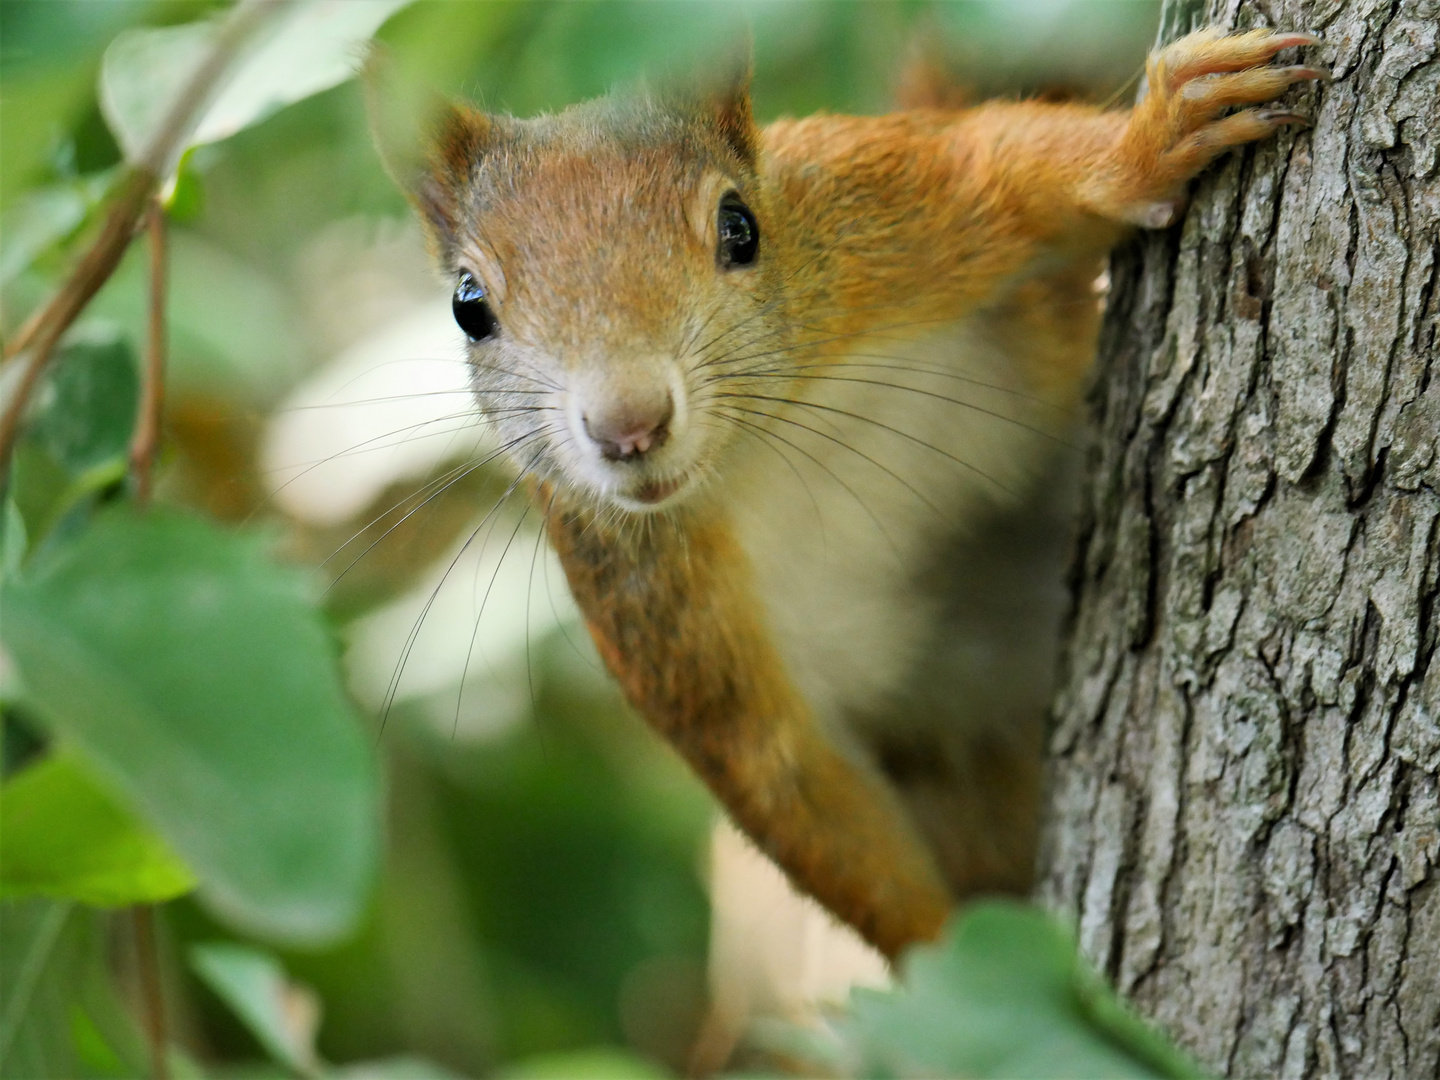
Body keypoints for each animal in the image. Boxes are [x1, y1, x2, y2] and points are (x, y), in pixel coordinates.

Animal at [385, 25, 1324, 961]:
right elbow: (799, 793)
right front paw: (956, 973)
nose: (629, 424)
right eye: (468, 307)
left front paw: (1152, 137)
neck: (768, 445)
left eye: (739, 228)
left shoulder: (869, 214)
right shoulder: (661, 612)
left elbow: (996, 165)